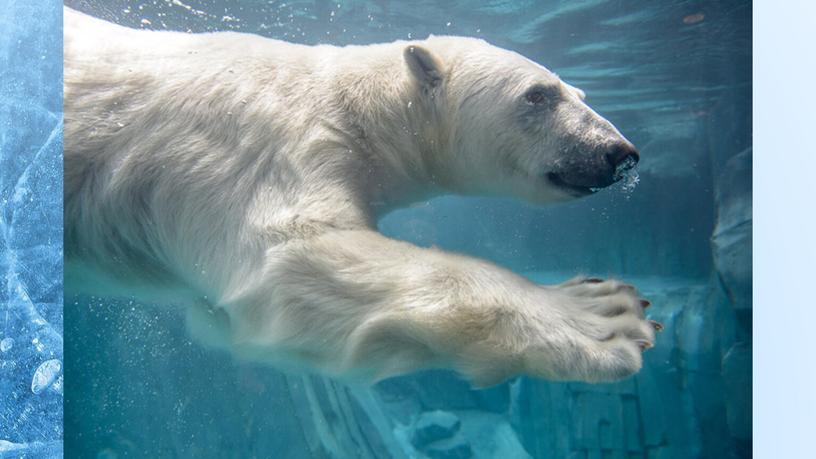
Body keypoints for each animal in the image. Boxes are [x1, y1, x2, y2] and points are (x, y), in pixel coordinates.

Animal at [67, 8, 660, 388]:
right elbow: (295, 256)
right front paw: (603, 313)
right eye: (538, 95)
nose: (620, 152)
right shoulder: (260, 145)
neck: (353, 102)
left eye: (579, 92)